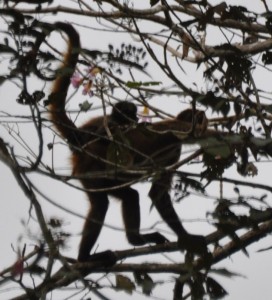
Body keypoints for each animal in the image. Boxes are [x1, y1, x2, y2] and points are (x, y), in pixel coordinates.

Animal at [44, 22, 208, 262]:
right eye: (201, 121)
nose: (204, 123)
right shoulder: (178, 132)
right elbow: (158, 194)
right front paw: (187, 238)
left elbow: (157, 194)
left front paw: (185, 237)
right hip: (92, 171)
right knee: (101, 204)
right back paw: (85, 257)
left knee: (129, 196)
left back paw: (135, 240)